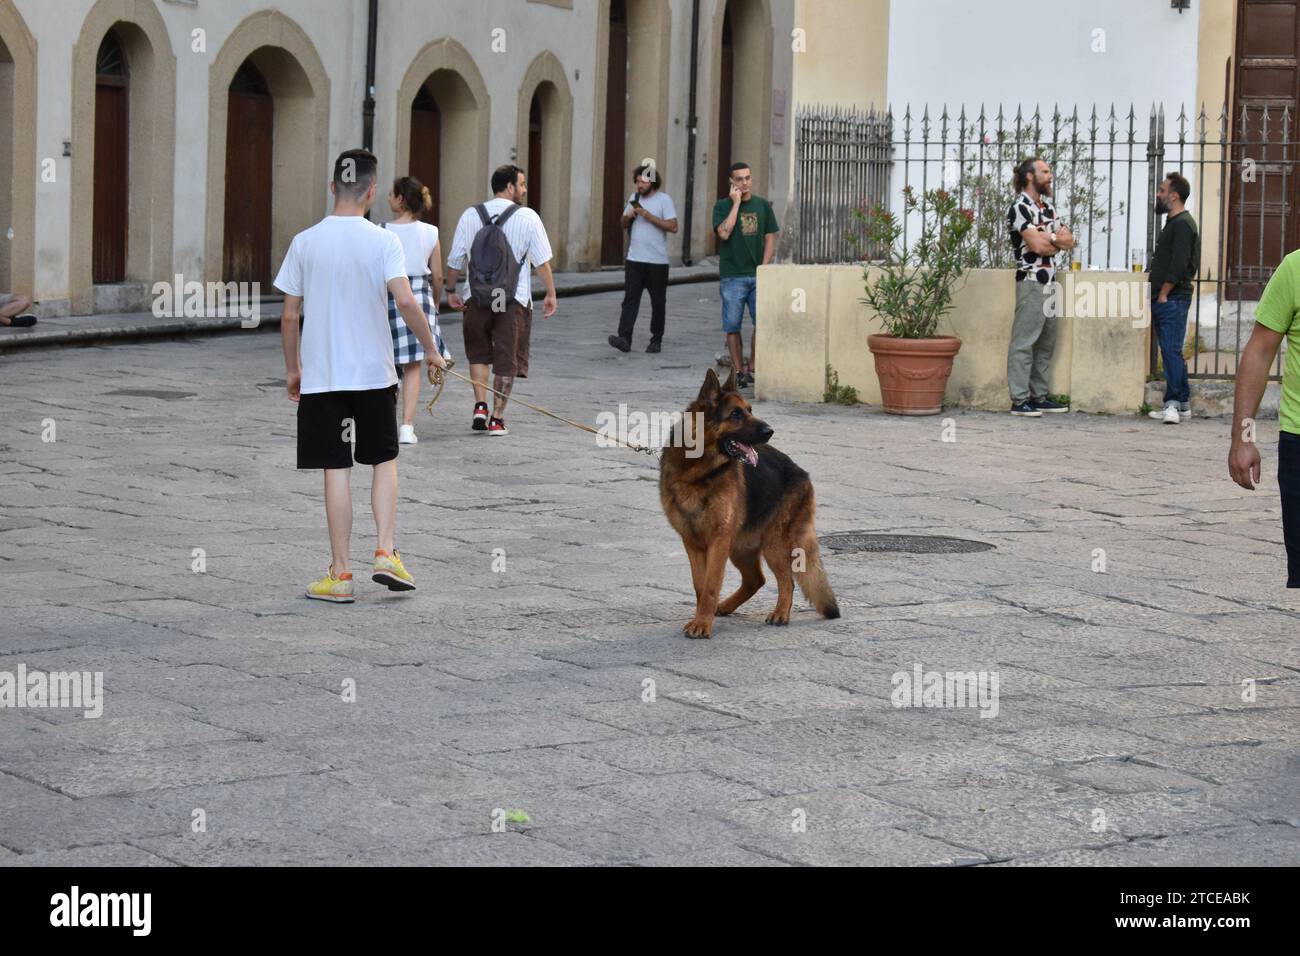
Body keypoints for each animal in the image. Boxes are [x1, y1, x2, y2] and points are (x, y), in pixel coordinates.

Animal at [660, 369, 842, 639]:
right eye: (735, 414)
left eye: (750, 409)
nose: (770, 431)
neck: (698, 471)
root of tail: (802, 473)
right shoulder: (693, 544)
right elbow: (700, 586)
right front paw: (701, 618)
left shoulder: (718, 542)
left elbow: (711, 585)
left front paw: (702, 624)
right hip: (740, 547)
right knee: (756, 579)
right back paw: (725, 607)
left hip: (773, 544)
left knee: (786, 580)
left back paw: (781, 613)